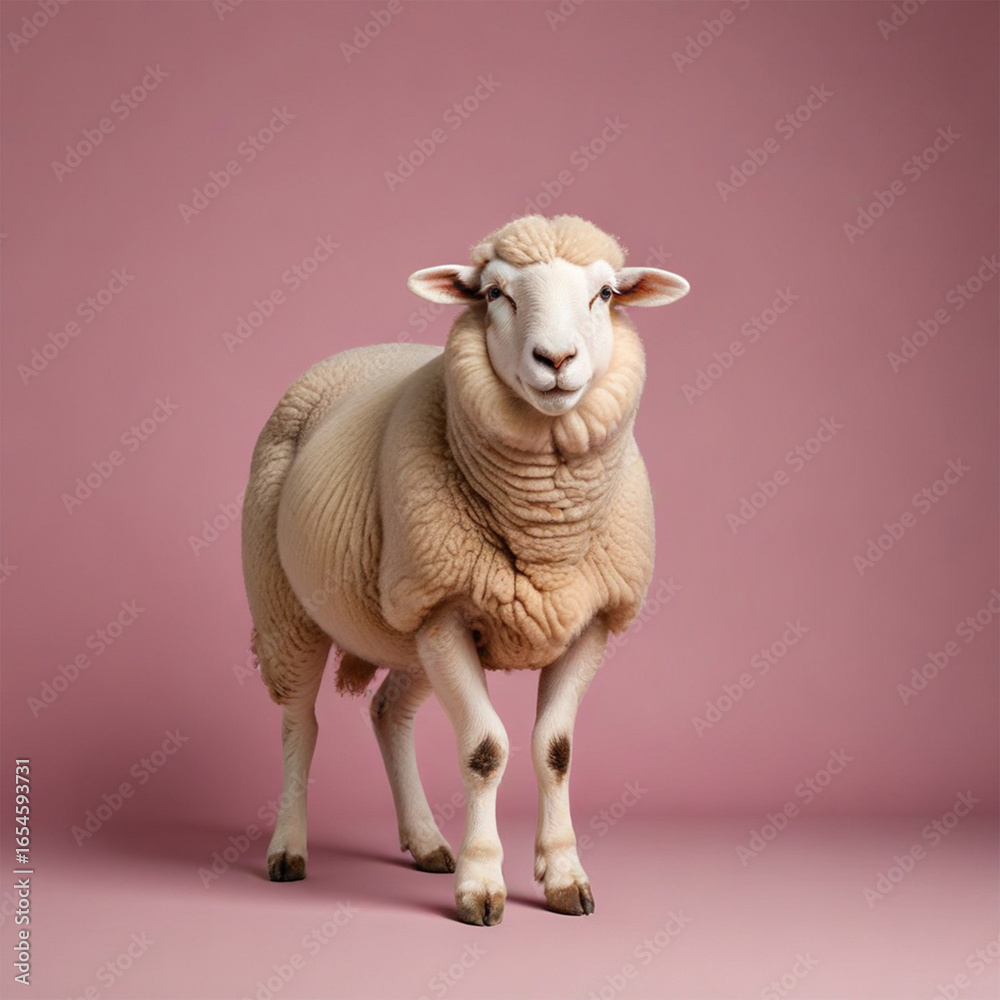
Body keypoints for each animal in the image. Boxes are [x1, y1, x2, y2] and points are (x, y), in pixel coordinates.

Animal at [240, 214, 690, 925]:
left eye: (606, 295)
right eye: (495, 294)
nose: (556, 361)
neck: (545, 527)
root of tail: (355, 354)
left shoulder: (586, 620)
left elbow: (555, 751)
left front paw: (563, 876)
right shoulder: (446, 611)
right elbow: (485, 750)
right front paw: (482, 885)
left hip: (407, 625)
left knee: (388, 713)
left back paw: (426, 842)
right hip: (289, 609)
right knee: (298, 725)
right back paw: (288, 848)